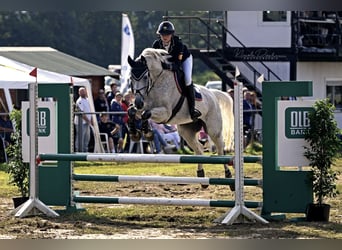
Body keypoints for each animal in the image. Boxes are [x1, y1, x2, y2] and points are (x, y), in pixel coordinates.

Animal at [127, 47, 234, 187]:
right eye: (131, 77)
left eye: (145, 77)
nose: (138, 101)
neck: (156, 82)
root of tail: (212, 94)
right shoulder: (144, 107)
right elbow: (132, 112)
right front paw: (135, 133)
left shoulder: (165, 113)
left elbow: (146, 114)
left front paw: (147, 133)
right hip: (187, 131)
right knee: (199, 150)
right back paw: (201, 176)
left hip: (213, 130)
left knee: (221, 150)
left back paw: (228, 175)